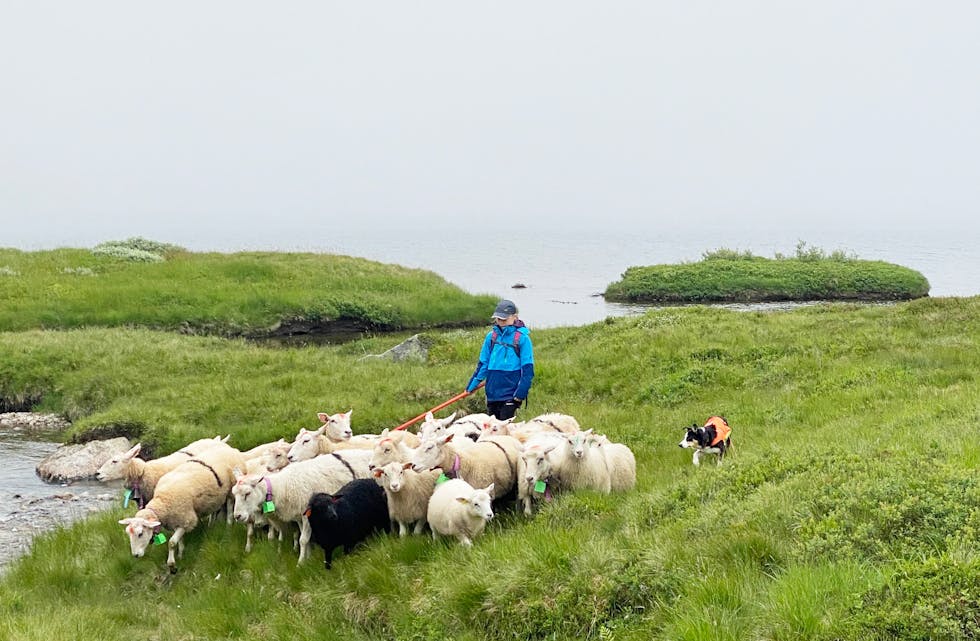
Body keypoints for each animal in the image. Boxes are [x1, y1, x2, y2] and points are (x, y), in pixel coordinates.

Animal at [117, 440, 245, 568]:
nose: (135, 555)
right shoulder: (178, 521)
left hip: (231, 490)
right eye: (128, 533)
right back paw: (211, 525)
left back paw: (228, 528)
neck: (163, 502)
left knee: (229, 510)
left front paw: (171, 563)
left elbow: (172, 542)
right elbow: (180, 540)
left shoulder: (187, 519)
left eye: (140, 534)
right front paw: (181, 553)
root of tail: (230, 448)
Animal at [232, 448, 374, 564]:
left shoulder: (307, 516)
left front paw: (300, 563)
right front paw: (308, 558)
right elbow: (307, 540)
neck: (283, 487)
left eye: (247, 493)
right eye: (234, 494)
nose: (237, 516)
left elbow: (303, 540)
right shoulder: (299, 517)